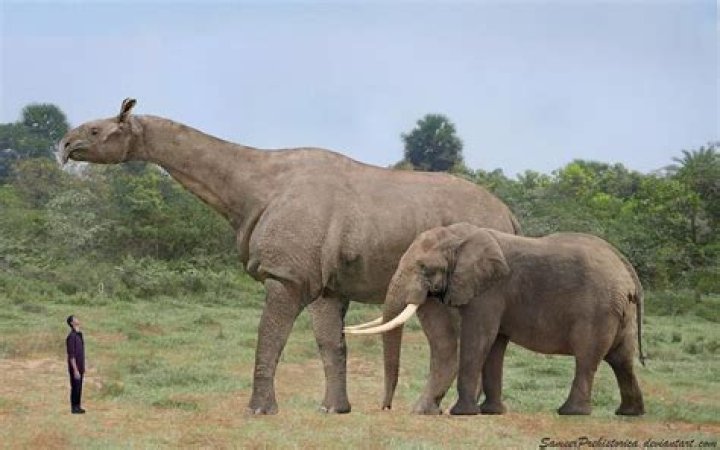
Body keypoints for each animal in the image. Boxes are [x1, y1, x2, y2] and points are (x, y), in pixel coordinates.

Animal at [58, 99, 520, 414]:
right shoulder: (322, 283)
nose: (63, 146)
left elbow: (270, 336)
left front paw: (258, 411)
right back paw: (443, 410)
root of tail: (509, 213)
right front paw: (333, 410)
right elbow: (329, 344)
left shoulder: (285, 275)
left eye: (96, 132)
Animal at [346, 223, 645, 416]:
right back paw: (629, 413)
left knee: (587, 359)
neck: (460, 237)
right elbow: (495, 345)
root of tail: (626, 269)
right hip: (620, 312)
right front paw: (490, 412)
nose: (386, 408)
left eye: (423, 268)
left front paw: (461, 413)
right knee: (622, 360)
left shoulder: (490, 290)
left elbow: (479, 338)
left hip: (597, 311)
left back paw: (570, 412)